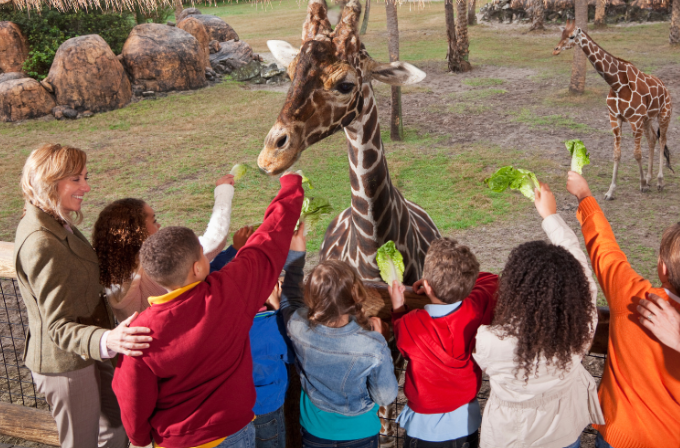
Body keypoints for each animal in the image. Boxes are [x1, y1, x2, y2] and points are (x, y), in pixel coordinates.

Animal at [553, 19, 673, 200]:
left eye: (572, 36)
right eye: (561, 34)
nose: (556, 49)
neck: (617, 84)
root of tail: (665, 88)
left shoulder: (634, 119)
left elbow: (637, 153)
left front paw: (642, 185)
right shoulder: (615, 118)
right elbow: (617, 154)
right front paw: (611, 191)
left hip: (664, 114)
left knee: (662, 140)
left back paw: (659, 182)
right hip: (647, 119)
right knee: (652, 139)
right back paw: (649, 178)